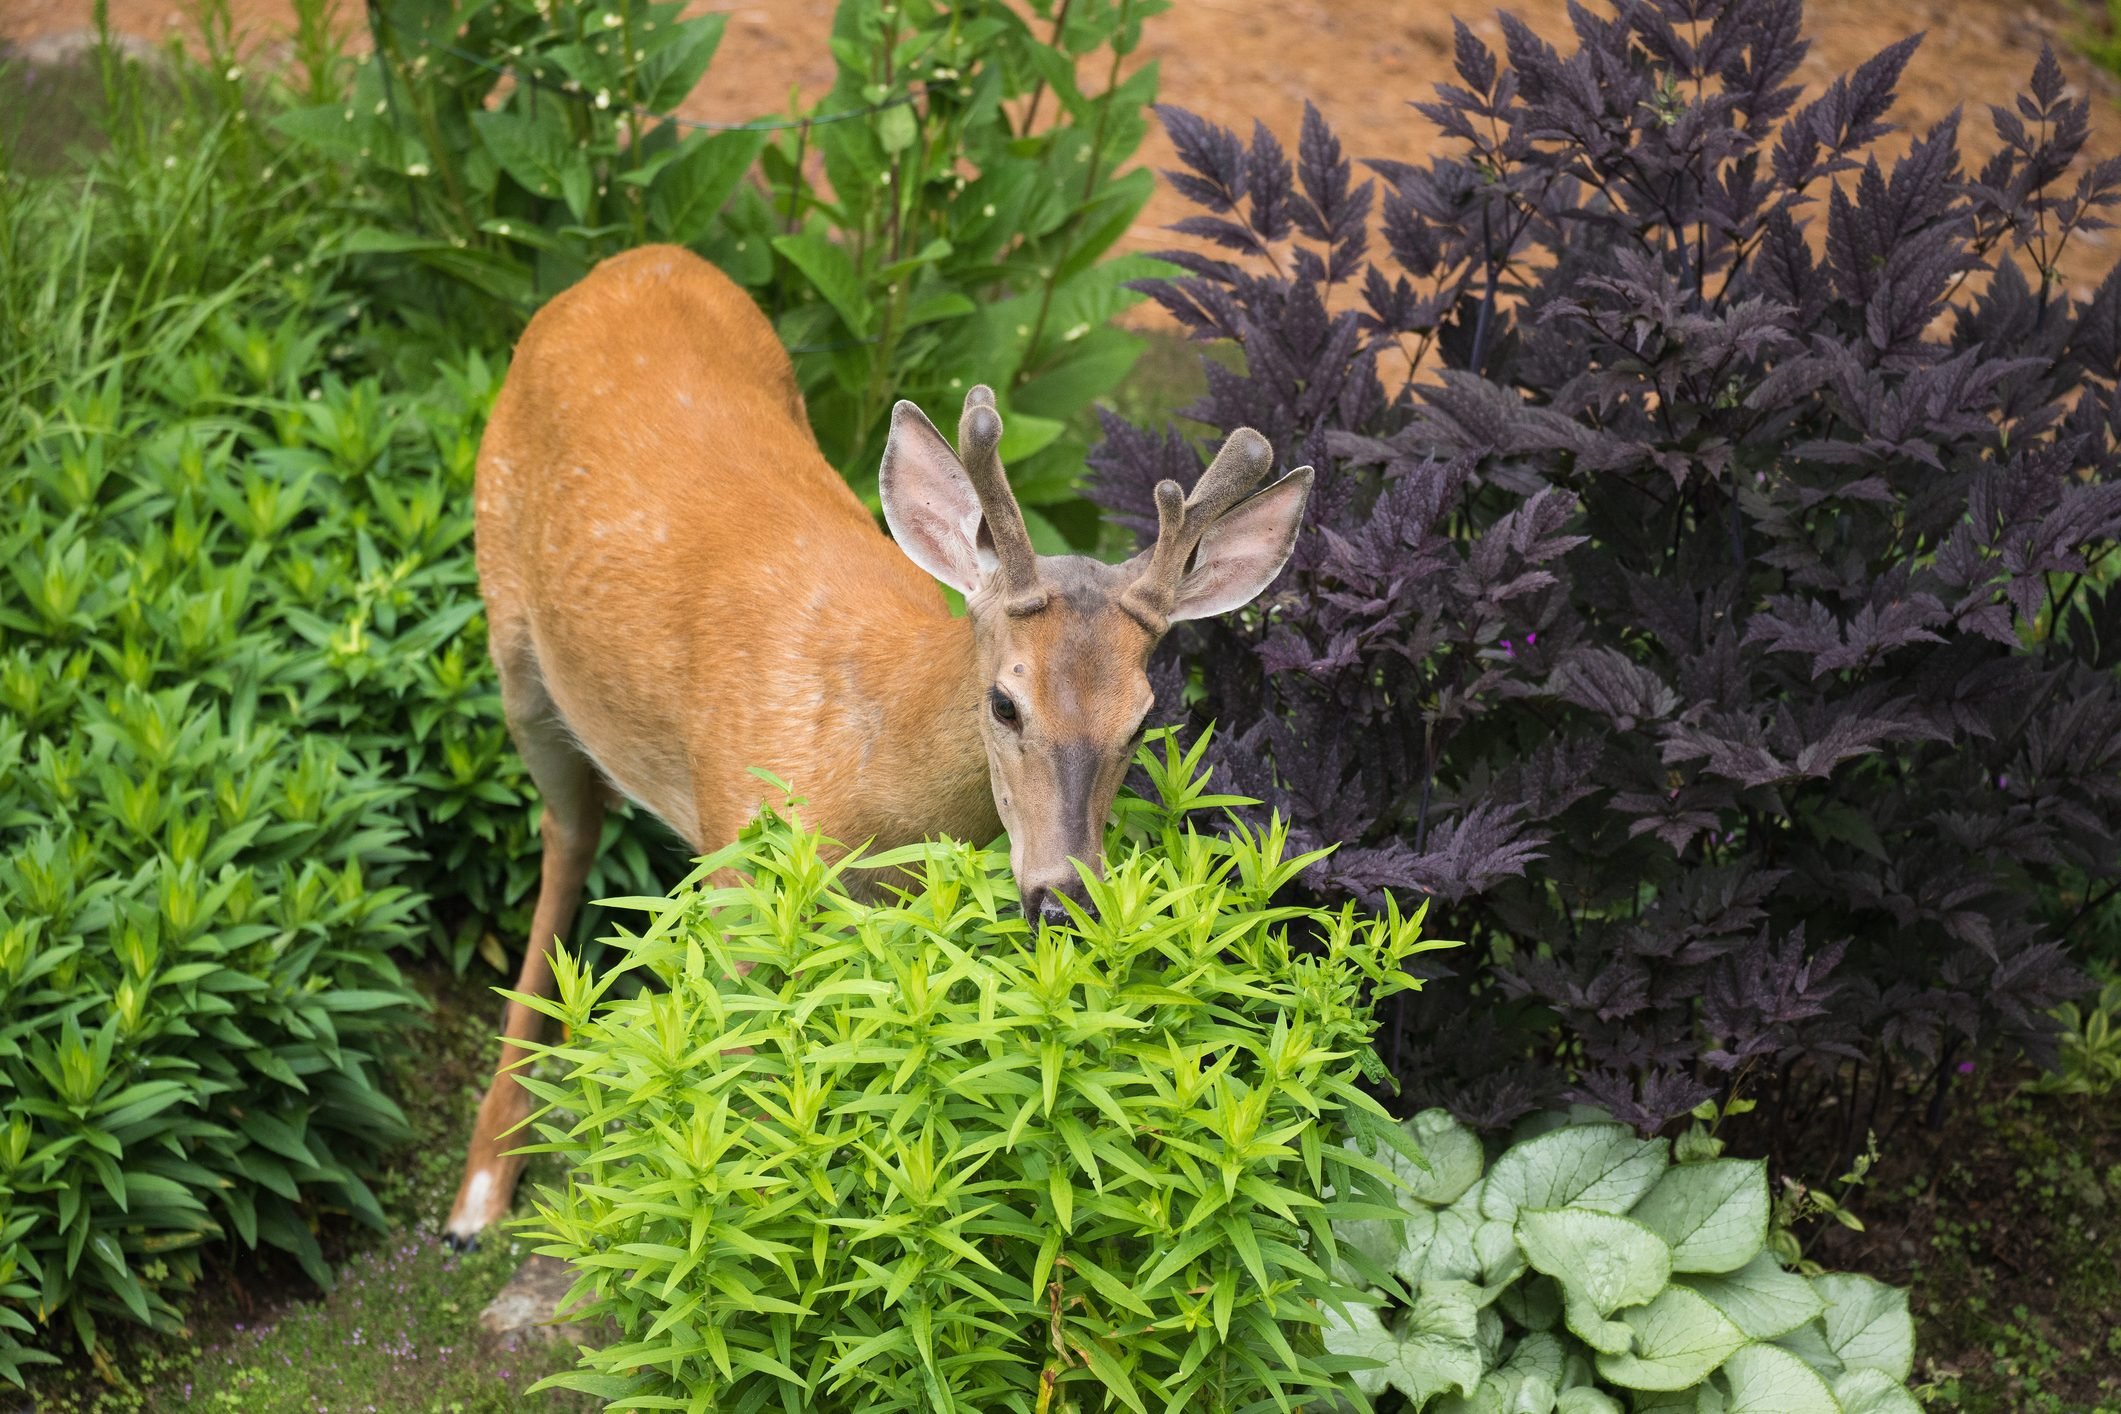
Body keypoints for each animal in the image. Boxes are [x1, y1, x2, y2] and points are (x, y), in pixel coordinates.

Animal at [445, 245, 1306, 1246]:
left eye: (1142, 717)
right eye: (1004, 703)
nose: (1064, 899)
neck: (867, 770)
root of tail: (642, 257)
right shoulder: (741, 876)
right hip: (510, 627)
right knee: (568, 828)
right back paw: (480, 1186)